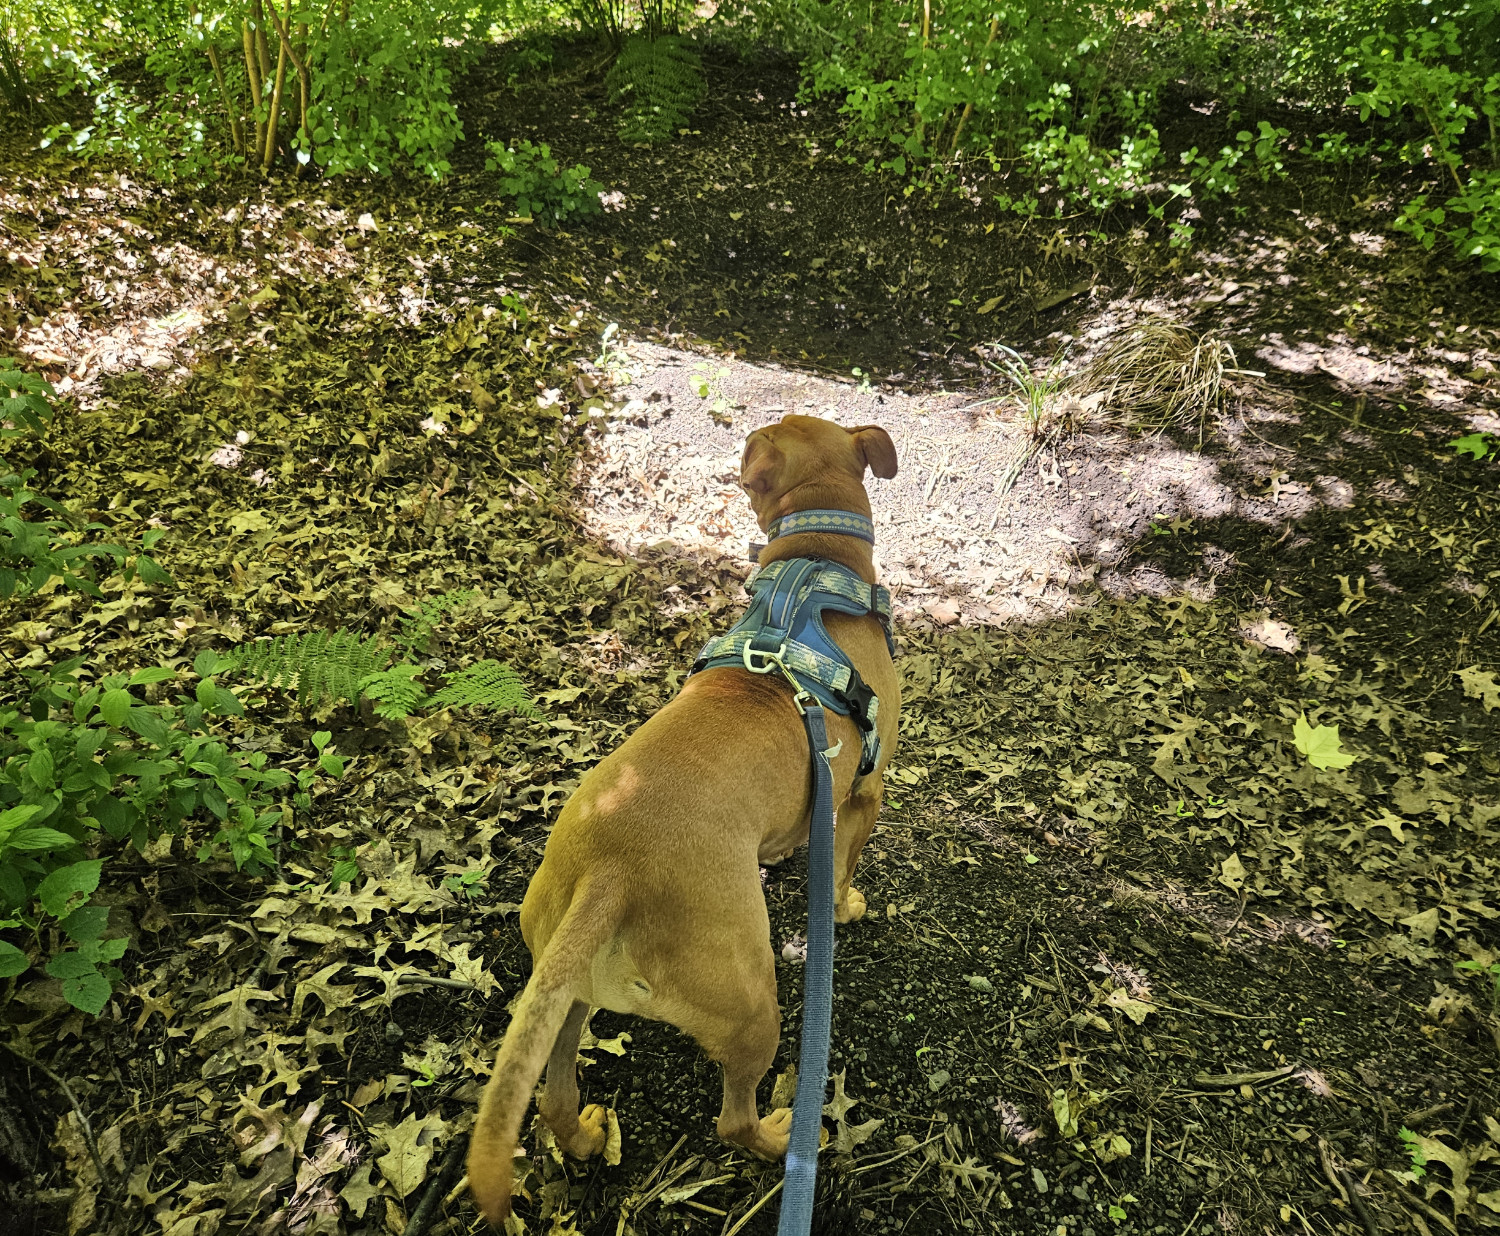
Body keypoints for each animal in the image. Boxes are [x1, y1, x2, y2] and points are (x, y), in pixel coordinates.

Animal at [468, 417, 894, 1224]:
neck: (817, 564)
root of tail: (610, 871)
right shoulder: (862, 792)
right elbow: (844, 866)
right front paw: (849, 905)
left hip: (565, 994)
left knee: (554, 1094)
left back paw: (582, 1138)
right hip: (753, 1002)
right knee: (731, 1119)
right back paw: (778, 1137)